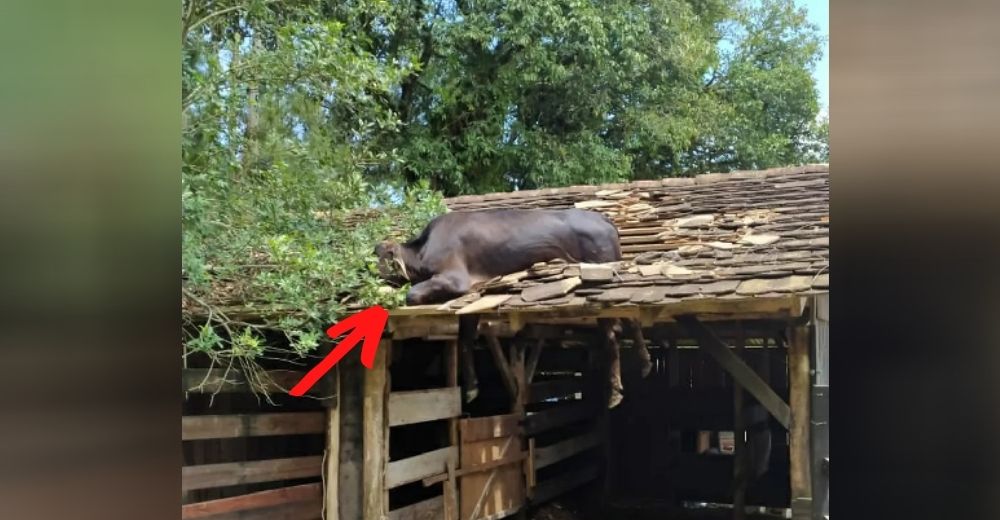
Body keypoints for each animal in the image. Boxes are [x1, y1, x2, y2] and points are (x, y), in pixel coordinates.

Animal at [376, 206, 648, 406]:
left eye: (378, 260)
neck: (422, 251)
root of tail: (602, 218)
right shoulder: (473, 293)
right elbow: (466, 339)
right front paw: (472, 388)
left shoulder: (456, 279)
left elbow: (412, 295)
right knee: (632, 320)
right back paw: (644, 364)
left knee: (612, 332)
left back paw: (615, 392)